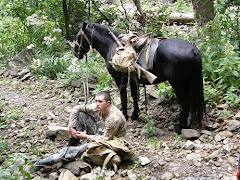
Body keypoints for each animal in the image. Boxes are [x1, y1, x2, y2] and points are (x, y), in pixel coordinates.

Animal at [74, 21, 203, 134]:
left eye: (79, 36)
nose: (76, 54)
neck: (111, 46)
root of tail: (194, 50)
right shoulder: (132, 79)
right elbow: (134, 95)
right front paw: (135, 114)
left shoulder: (119, 79)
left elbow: (124, 97)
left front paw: (125, 115)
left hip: (178, 84)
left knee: (185, 102)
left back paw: (180, 126)